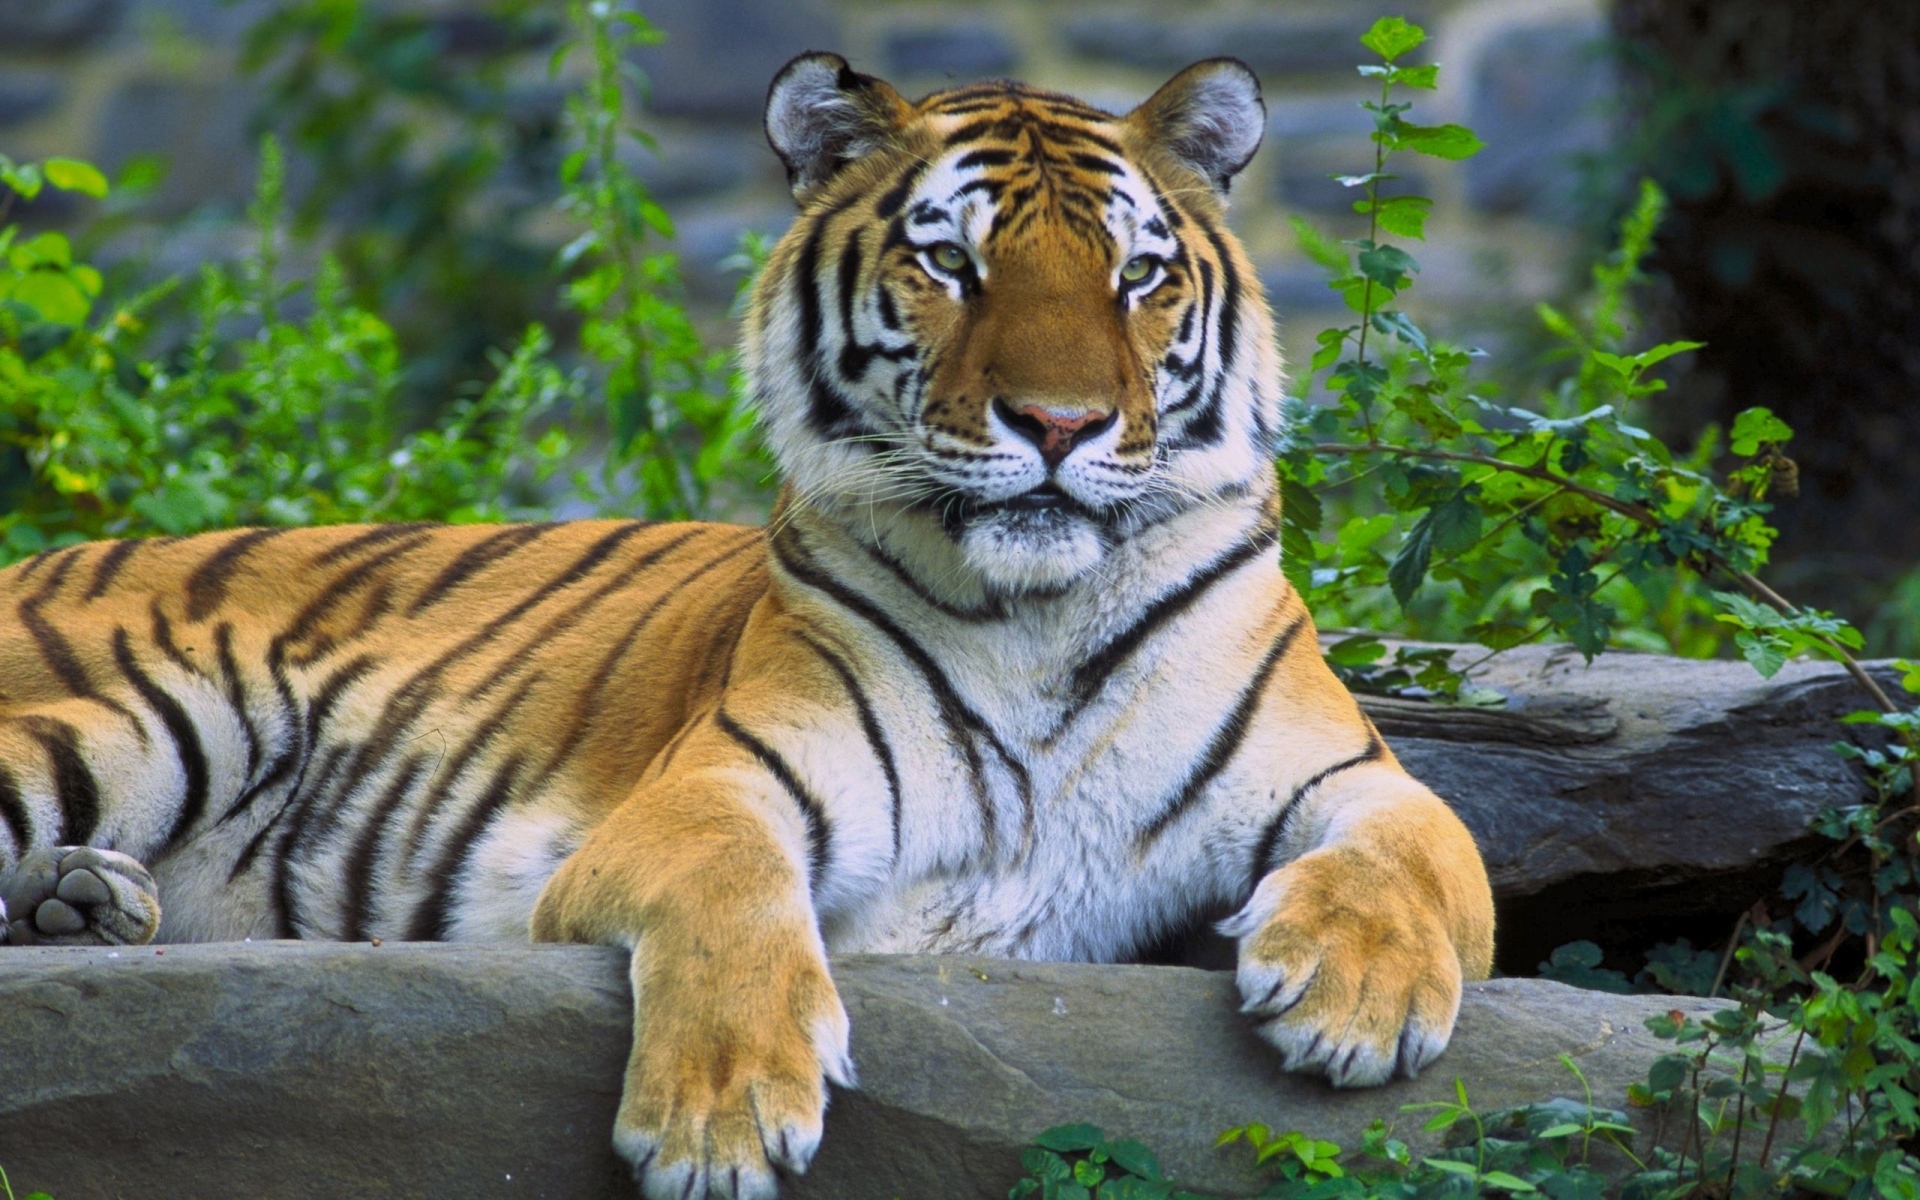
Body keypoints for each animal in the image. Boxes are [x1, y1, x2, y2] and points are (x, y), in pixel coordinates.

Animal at [0, 54, 1493, 1200]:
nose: (1061, 424)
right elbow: (734, 893)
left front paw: (1356, 1000)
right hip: (167, 710)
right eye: (950, 262)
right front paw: (720, 1120)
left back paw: (87, 902)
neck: (1038, 618)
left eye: (1136, 276)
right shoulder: (716, 785)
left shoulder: (1348, 772)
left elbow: (1430, 853)